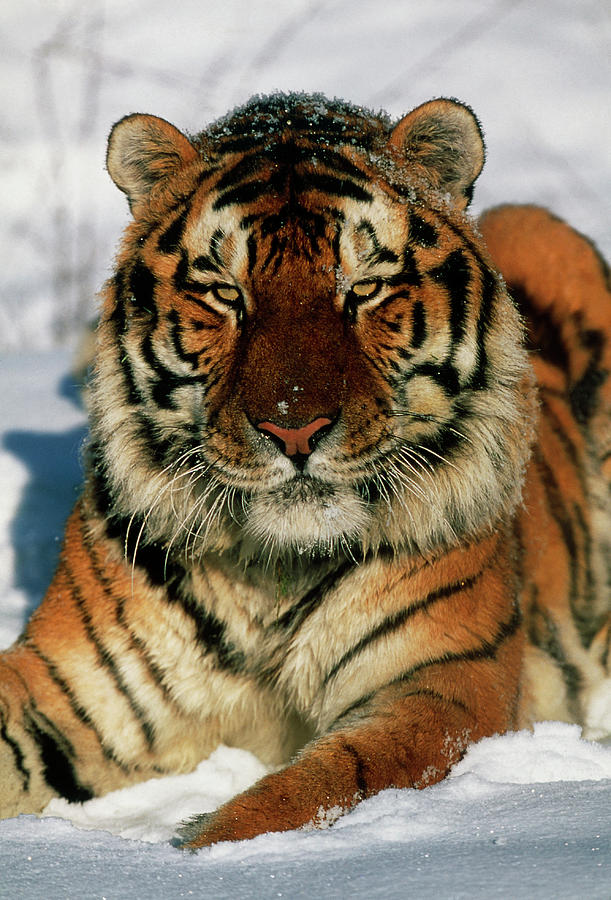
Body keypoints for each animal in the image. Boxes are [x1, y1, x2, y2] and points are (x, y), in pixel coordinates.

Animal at [1, 95, 611, 848]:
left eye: (365, 288)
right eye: (225, 294)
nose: (294, 429)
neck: (272, 574)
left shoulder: (445, 689)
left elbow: (313, 786)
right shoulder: (65, 689)